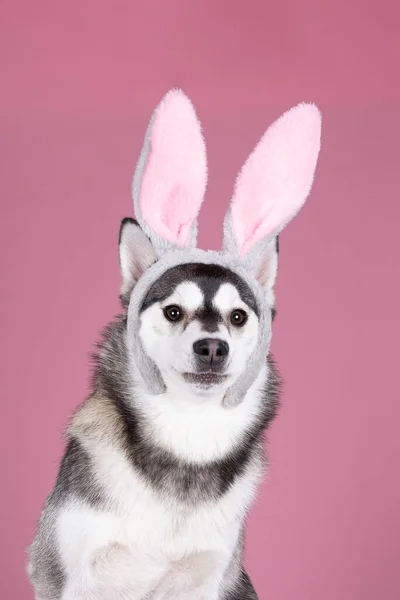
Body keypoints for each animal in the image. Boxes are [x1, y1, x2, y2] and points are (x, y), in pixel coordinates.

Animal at [27, 86, 322, 596]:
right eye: (172, 312)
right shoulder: (72, 575)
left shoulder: (209, 575)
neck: (188, 436)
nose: (212, 347)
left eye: (238, 317)